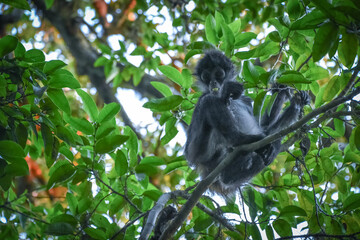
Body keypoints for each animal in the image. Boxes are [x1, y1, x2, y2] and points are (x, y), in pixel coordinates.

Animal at [184, 49, 310, 194]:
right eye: (206, 77)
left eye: (219, 74)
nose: (213, 83)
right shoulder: (202, 97)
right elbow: (208, 98)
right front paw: (225, 91)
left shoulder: (246, 100)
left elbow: (264, 127)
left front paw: (291, 98)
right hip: (201, 153)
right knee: (209, 100)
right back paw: (241, 140)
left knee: (273, 141)